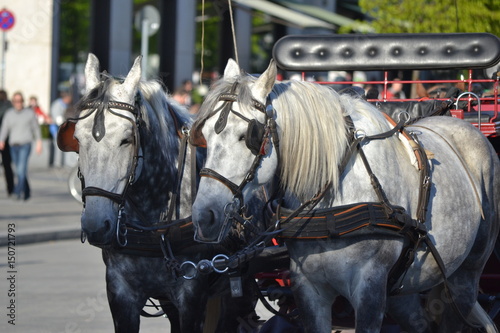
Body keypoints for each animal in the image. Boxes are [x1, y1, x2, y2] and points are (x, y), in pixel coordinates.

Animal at [191, 59, 500, 332]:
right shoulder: (308, 288)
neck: (333, 198)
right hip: (405, 286)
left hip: (463, 278)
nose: (203, 216)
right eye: (203, 134)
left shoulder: (370, 288)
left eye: (247, 136)